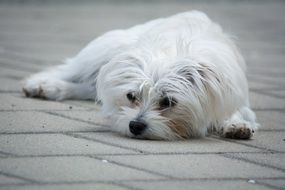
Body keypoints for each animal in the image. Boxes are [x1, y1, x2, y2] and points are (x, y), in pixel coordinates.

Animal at [21, 11, 258, 140]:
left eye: (168, 102)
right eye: (131, 96)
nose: (134, 126)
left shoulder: (234, 96)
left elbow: (237, 112)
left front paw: (237, 125)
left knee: (89, 87)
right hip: (101, 52)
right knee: (69, 71)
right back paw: (43, 85)